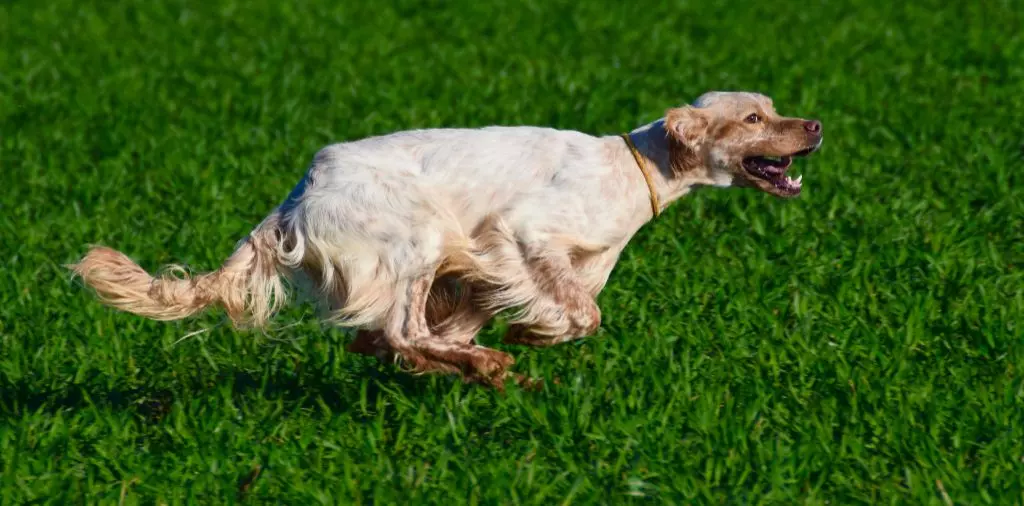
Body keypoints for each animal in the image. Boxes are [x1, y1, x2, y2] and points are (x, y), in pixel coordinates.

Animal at [69, 91, 822, 388]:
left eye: (773, 108)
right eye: (754, 118)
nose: (814, 125)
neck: (638, 165)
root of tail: (295, 197)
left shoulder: (495, 267)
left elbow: (502, 314)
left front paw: (512, 343)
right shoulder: (524, 234)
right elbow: (583, 312)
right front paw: (524, 340)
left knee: (392, 338)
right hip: (416, 236)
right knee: (400, 329)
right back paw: (484, 365)